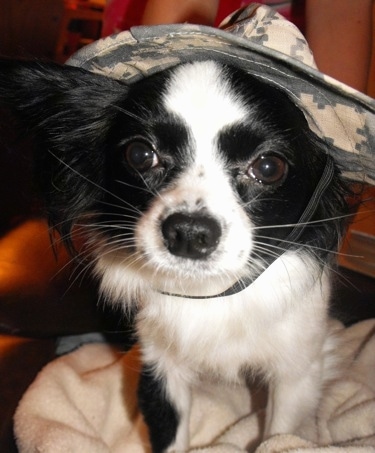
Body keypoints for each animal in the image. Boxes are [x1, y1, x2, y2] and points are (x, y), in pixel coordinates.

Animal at [1, 58, 352, 450]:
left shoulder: (296, 374)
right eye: (140, 155)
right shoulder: (160, 367)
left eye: (268, 167)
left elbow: (280, 434)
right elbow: (170, 433)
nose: (189, 232)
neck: (212, 293)